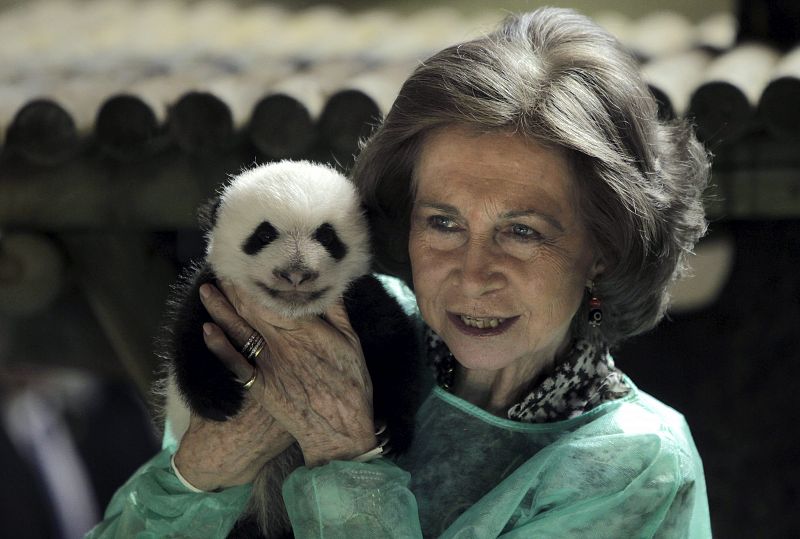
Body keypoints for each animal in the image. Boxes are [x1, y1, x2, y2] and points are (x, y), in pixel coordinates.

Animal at [157, 160, 421, 539]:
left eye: (327, 236)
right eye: (264, 235)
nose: (296, 274)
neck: (291, 312)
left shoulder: (356, 297)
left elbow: (394, 345)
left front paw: (391, 429)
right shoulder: (215, 293)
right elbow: (190, 336)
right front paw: (219, 400)